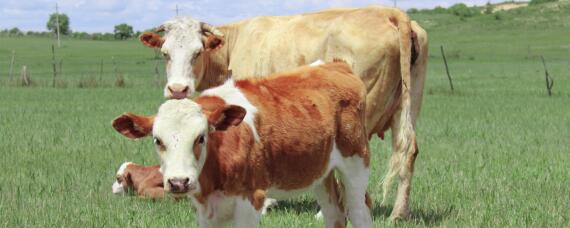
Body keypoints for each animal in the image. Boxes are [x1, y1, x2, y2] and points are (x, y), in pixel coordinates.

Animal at [113, 61, 370, 227]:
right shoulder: (205, 210)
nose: (178, 182)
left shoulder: (251, 200)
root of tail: (334, 64)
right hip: (320, 171)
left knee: (360, 209)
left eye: (201, 137)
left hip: (356, 162)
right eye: (157, 140)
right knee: (334, 214)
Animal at [140, 5, 426, 221]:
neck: (235, 44)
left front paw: (267, 202)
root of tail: (389, 12)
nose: (178, 88)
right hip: (408, 107)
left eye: (197, 52)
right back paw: (400, 213)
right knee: (408, 151)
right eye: (165, 53)